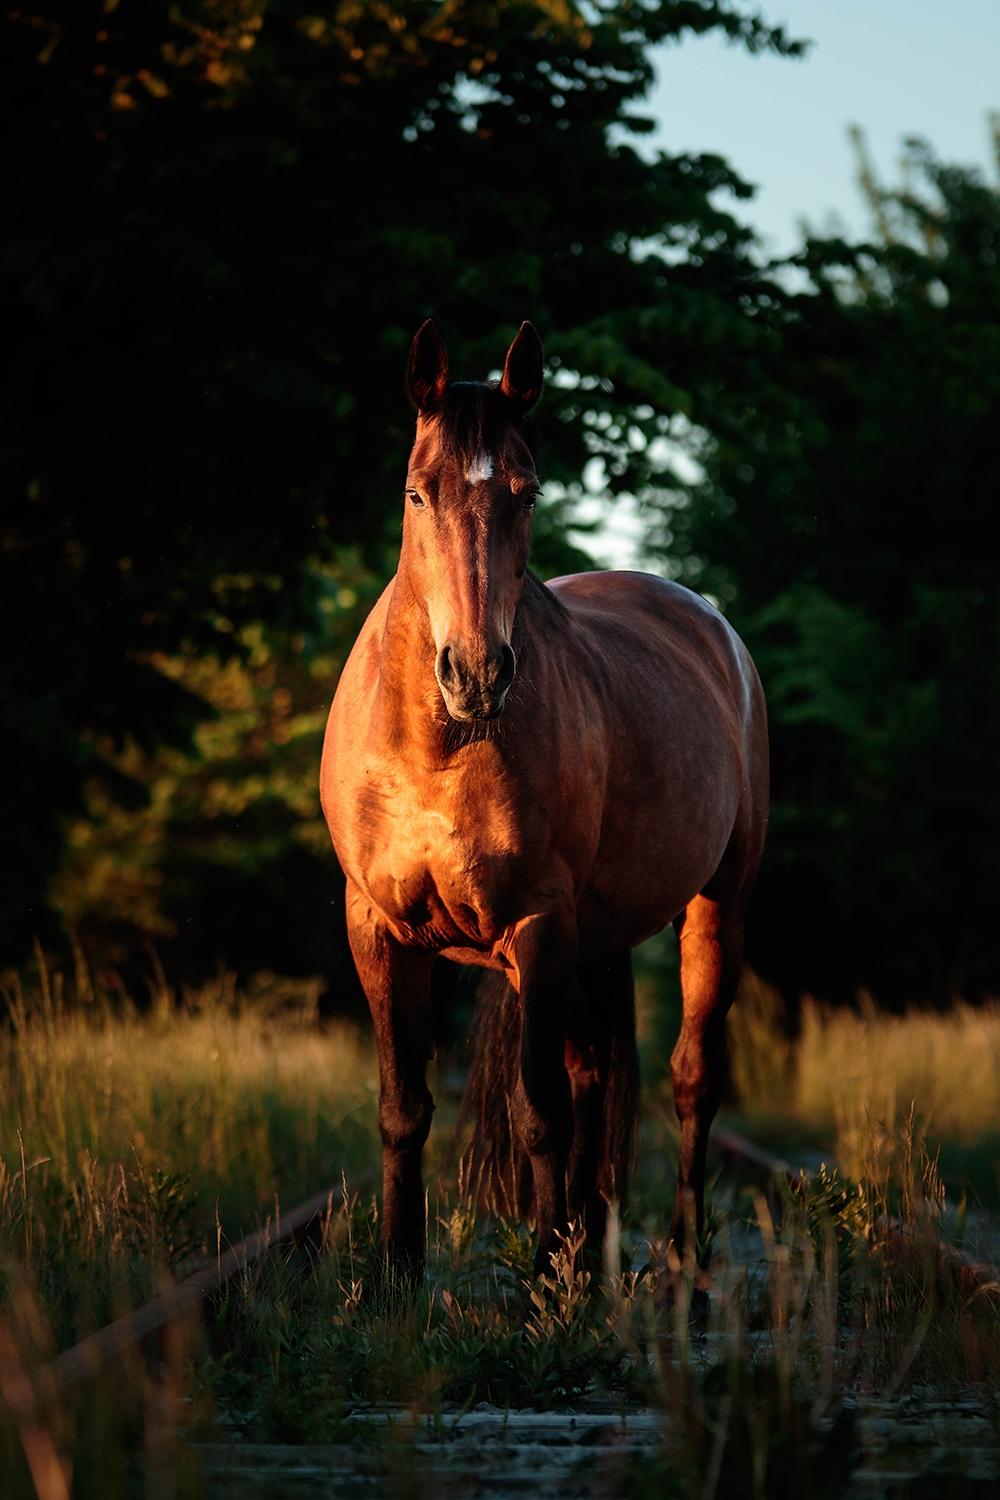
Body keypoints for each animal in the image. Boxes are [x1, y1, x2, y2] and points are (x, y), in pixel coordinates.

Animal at [320, 322, 767, 1284]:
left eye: (525, 494)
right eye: (417, 492)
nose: (477, 673)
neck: (437, 748)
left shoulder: (538, 925)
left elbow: (538, 1114)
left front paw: (544, 1288)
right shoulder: (376, 928)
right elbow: (404, 1107)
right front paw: (396, 1278)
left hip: (715, 907)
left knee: (689, 1079)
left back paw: (677, 1258)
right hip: (597, 936)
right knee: (596, 1075)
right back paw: (590, 1251)